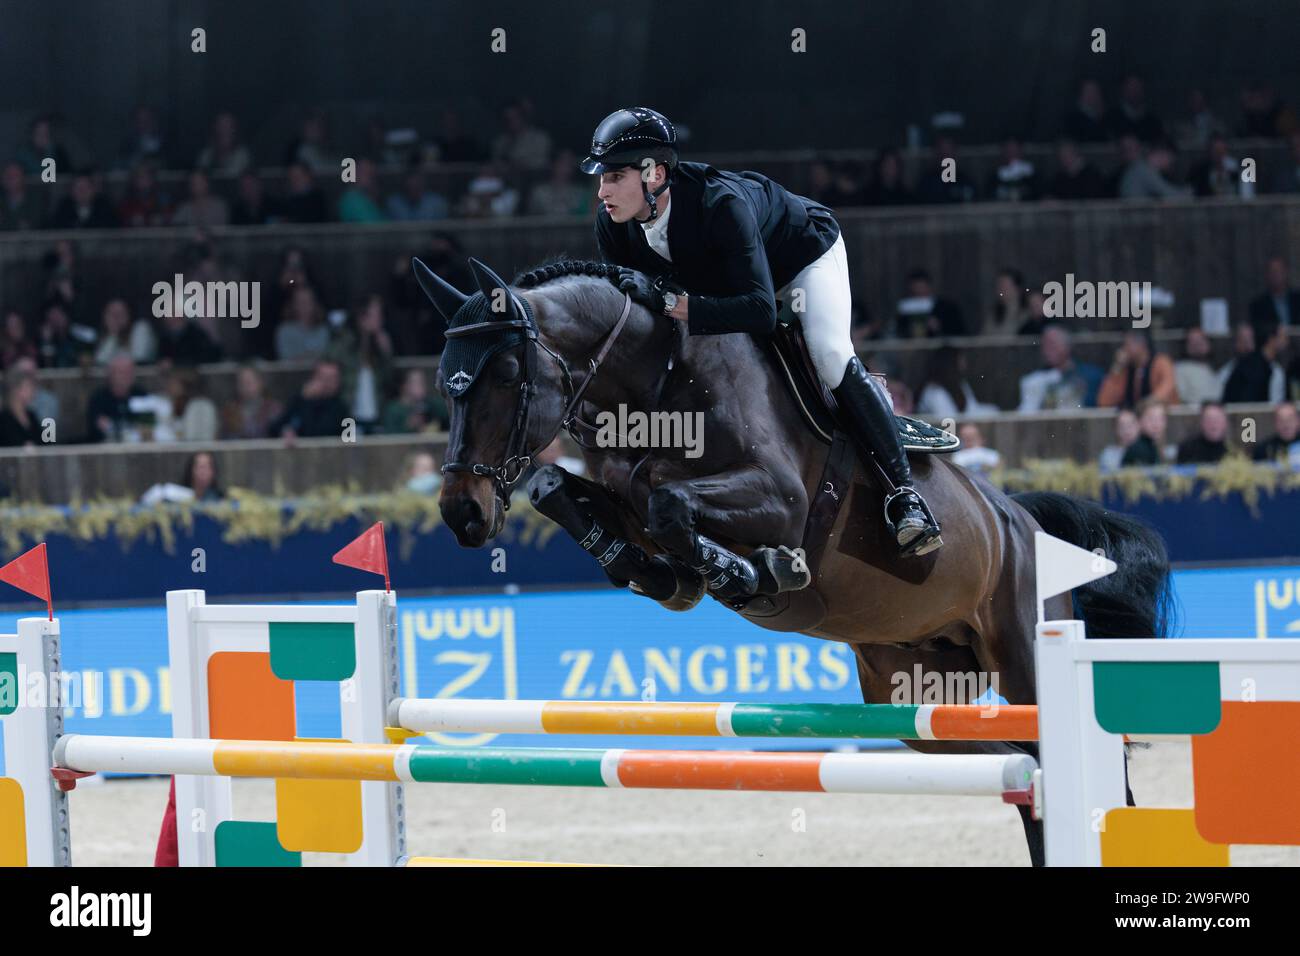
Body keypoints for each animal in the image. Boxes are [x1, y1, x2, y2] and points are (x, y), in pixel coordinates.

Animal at [418, 256, 1180, 868]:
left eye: (506, 373)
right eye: (444, 383)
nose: (462, 513)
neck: (656, 387)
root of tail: (1019, 518)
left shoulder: (778, 500)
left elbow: (671, 502)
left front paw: (756, 574)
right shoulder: (616, 489)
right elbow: (566, 489)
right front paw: (665, 576)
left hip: (1022, 654)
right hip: (914, 699)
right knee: (1024, 770)